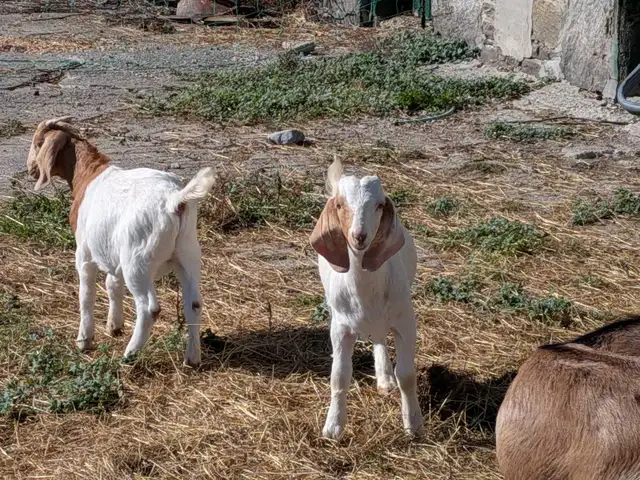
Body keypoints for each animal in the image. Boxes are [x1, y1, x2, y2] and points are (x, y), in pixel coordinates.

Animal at [26, 117, 215, 367]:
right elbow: (112, 284)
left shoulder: (84, 253)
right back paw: (192, 358)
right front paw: (114, 326)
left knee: (149, 307)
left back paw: (130, 354)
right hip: (188, 253)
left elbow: (86, 295)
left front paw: (84, 340)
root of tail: (174, 201)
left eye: (38, 142)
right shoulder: (111, 252)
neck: (88, 175)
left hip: (137, 260)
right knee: (194, 303)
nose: (30, 168)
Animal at [309, 158, 423, 439]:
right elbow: (339, 375)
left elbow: (406, 375)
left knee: (380, 336)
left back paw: (385, 378)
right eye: (340, 205)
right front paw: (333, 427)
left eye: (379, 205)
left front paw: (414, 425)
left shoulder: (406, 322)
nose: (358, 236)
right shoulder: (340, 327)